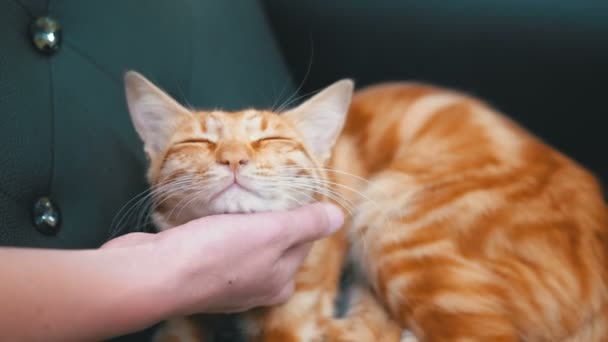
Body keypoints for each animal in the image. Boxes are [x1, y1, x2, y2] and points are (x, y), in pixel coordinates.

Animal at [124, 71, 608, 340]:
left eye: (270, 139)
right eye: (197, 143)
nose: (233, 158)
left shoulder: (295, 320)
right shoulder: (178, 318)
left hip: (393, 215)